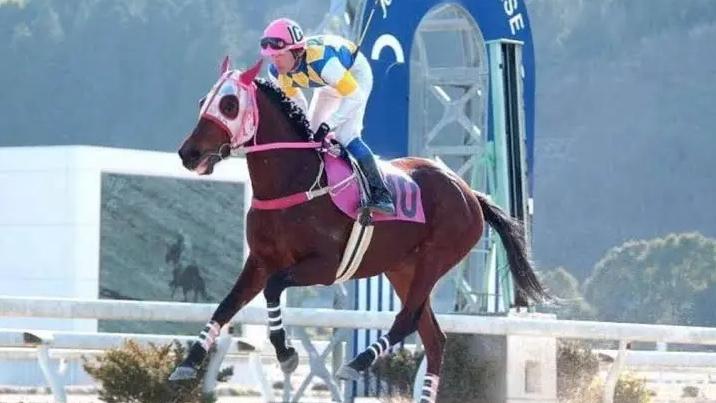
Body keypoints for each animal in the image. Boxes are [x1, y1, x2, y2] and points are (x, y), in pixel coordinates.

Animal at [169, 59, 547, 401]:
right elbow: (226, 305)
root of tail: (469, 193)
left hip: (435, 259)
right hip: (402, 269)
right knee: (434, 339)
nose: (189, 154)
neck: (293, 180)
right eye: (203, 102)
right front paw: (188, 363)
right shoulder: (260, 261)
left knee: (407, 321)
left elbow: (274, 288)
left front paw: (286, 353)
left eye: (229, 105)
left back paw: (356, 362)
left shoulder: (325, 266)